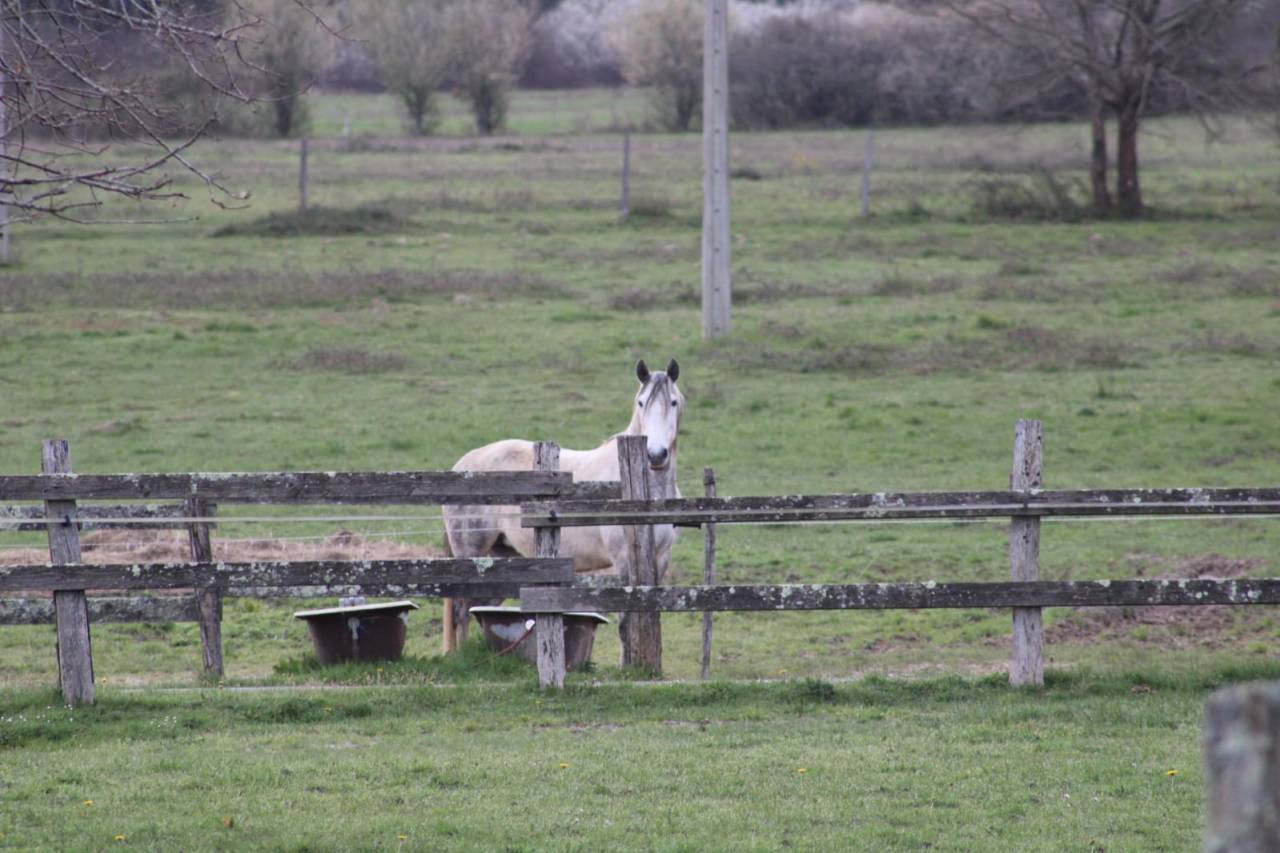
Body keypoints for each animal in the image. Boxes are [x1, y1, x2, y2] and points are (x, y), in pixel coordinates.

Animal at [440, 358, 684, 651]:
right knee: (461, 612)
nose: (656, 455)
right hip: (471, 553)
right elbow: (626, 625)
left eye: (674, 402)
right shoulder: (624, 563)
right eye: (641, 402)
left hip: (501, 557)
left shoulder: (661, 559)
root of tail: (461, 466)